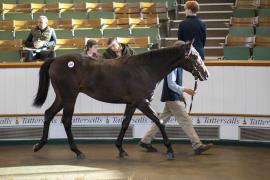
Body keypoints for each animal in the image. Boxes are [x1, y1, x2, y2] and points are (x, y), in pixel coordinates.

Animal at [32, 42, 209, 160]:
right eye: (194, 56)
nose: (205, 74)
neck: (145, 68)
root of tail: (55, 61)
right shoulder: (142, 102)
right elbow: (158, 121)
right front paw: (170, 150)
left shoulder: (131, 104)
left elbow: (125, 123)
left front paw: (121, 149)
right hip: (69, 97)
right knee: (66, 120)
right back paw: (77, 151)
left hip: (62, 97)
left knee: (48, 114)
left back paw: (39, 145)